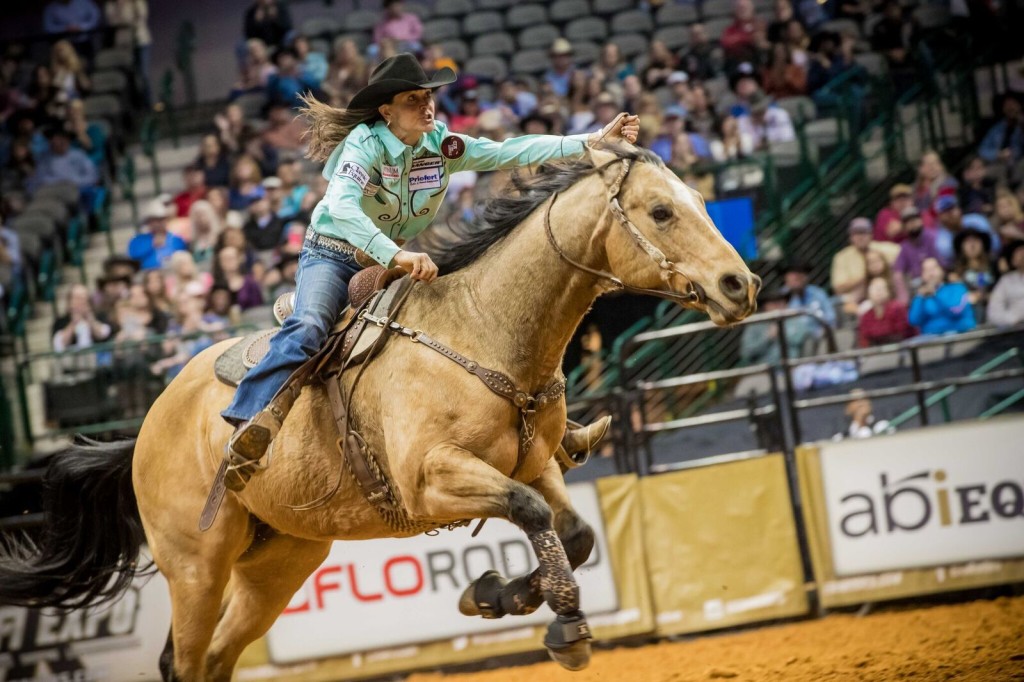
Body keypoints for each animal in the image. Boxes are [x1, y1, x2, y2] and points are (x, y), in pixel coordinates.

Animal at [0, 144, 761, 679]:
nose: (741, 284)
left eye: (699, 199)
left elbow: (568, 531)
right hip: (195, 567)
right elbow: (536, 517)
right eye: (661, 211)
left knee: (214, 659)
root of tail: (144, 430)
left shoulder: (532, 463)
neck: (481, 329)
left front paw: (496, 595)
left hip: (277, 564)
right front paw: (560, 625)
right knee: (184, 663)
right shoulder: (429, 481)